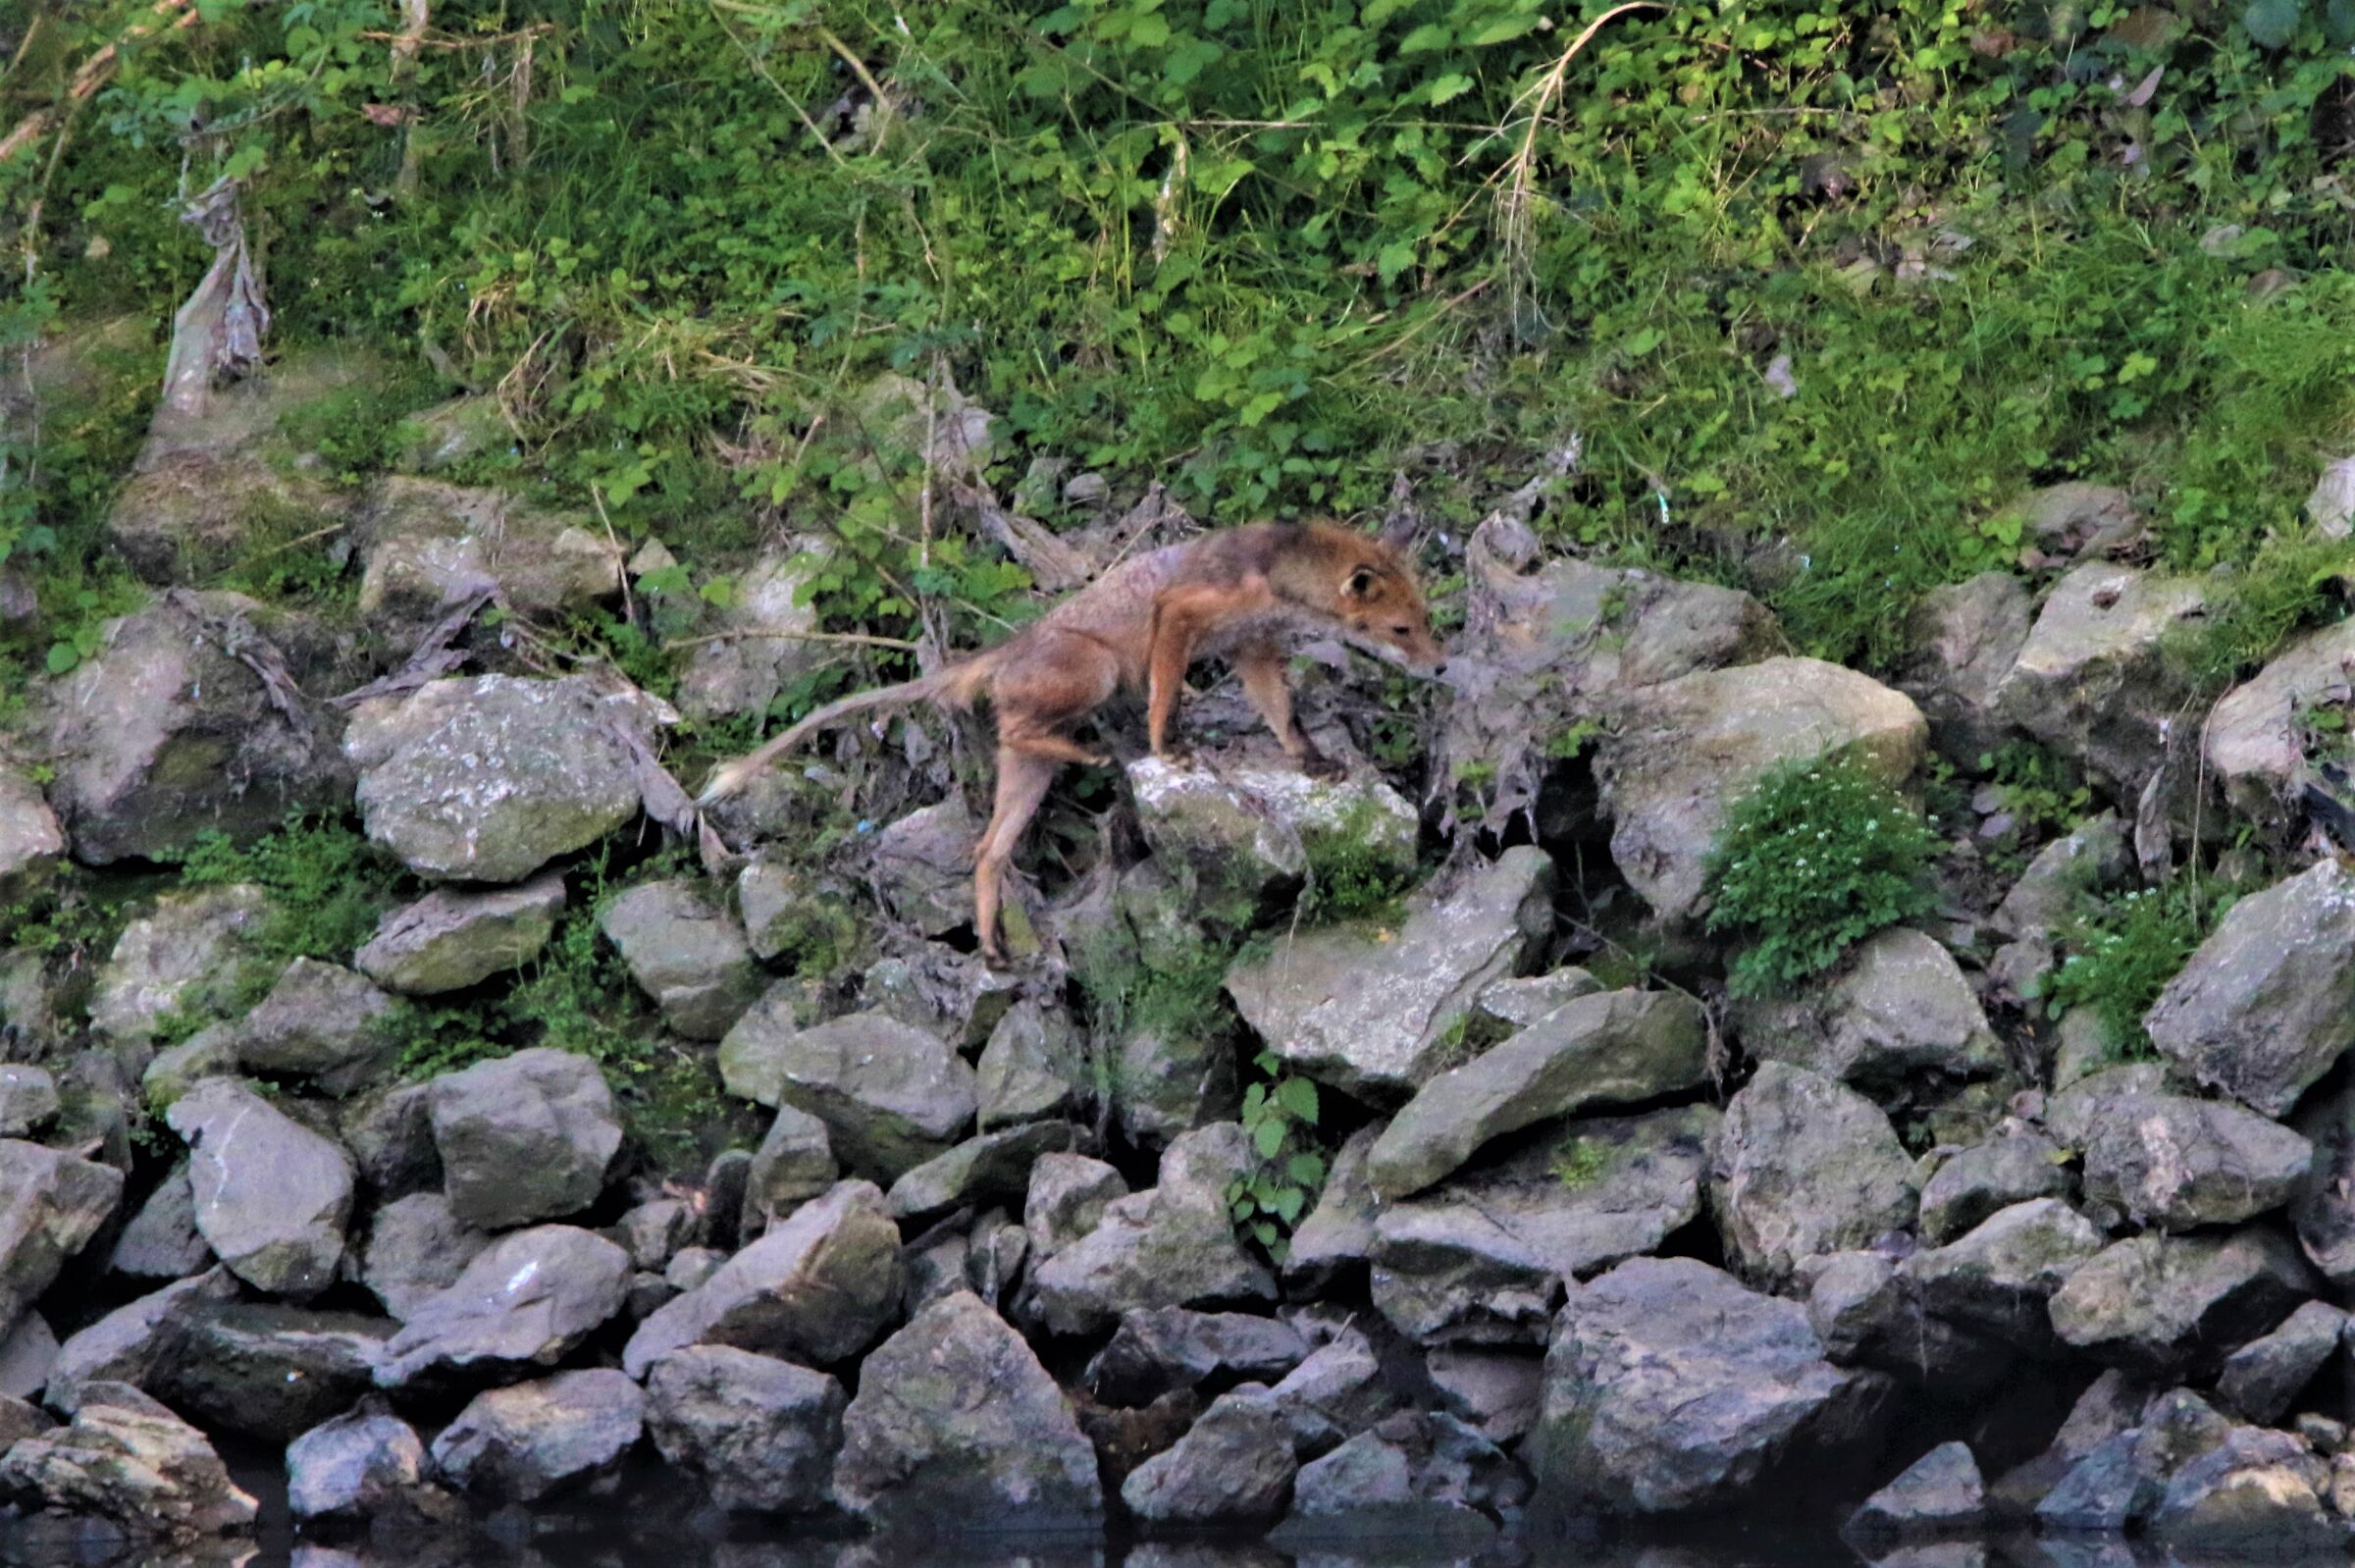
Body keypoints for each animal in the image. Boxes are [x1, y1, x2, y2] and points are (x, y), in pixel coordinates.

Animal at [698, 520, 1447, 962]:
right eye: (1401, 630)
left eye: (1426, 622)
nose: (1441, 668)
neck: (1274, 572)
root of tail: (1009, 647)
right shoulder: (1180, 617)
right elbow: (1166, 698)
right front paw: (1167, 747)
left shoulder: (1251, 649)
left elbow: (1285, 720)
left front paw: (1313, 761)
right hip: (1097, 671)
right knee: (1024, 739)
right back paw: (1095, 755)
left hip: (1025, 776)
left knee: (989, 850)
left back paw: (993, 943)